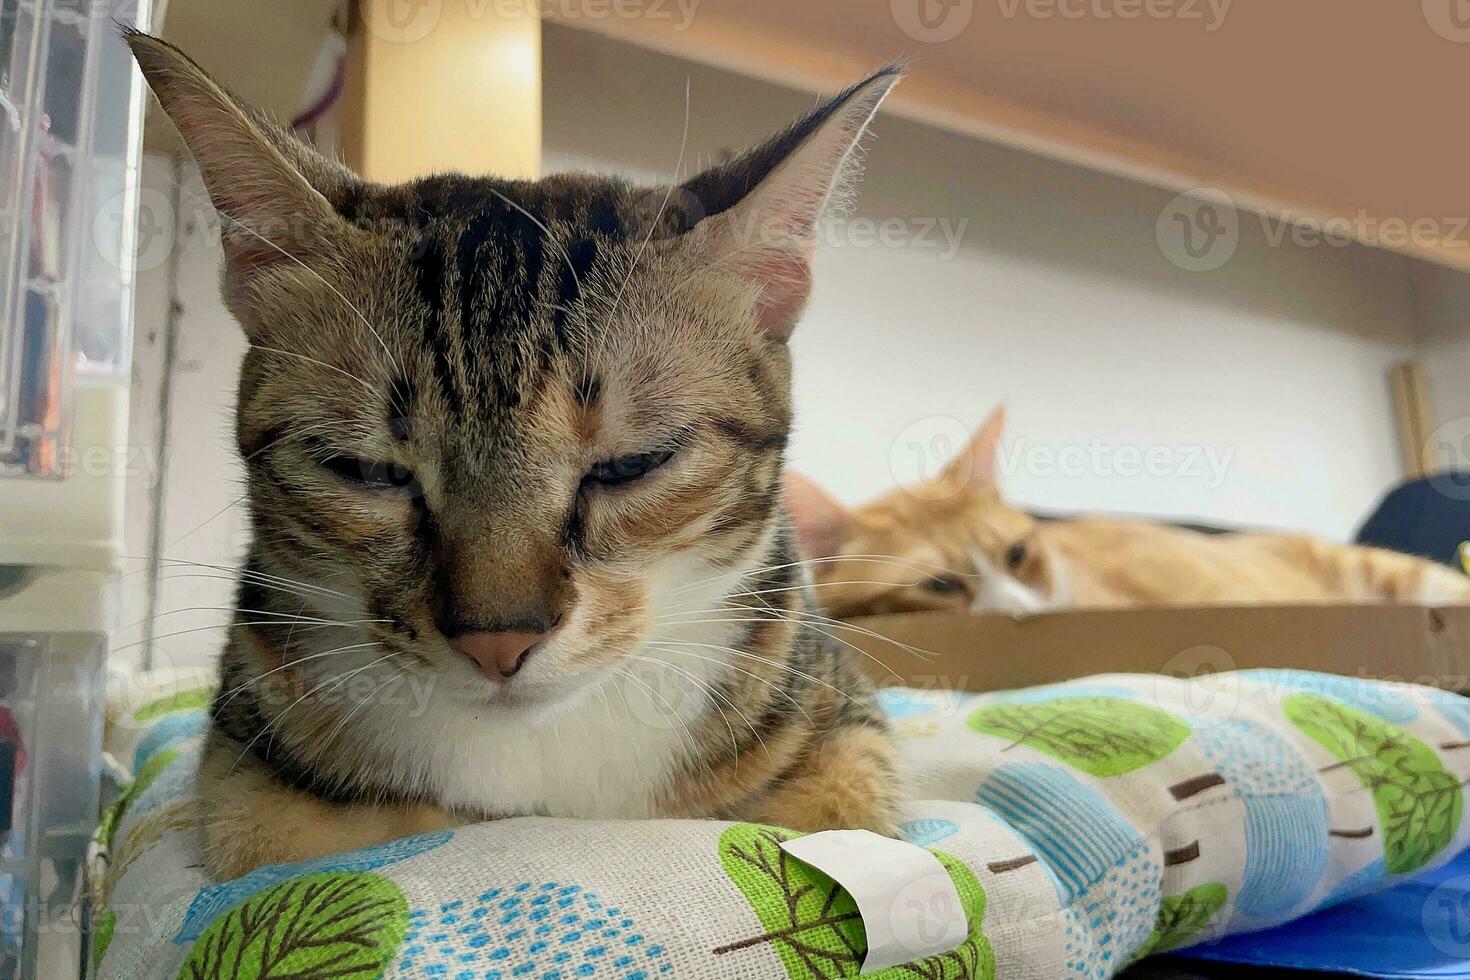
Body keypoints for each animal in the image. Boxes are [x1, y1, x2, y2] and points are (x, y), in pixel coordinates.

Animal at [129, 32, 905, 881]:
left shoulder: (848, 740)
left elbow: (833, 818)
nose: (498, 641)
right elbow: (304, 838)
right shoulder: (247, 785)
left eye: (633, 465)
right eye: (370, 471)